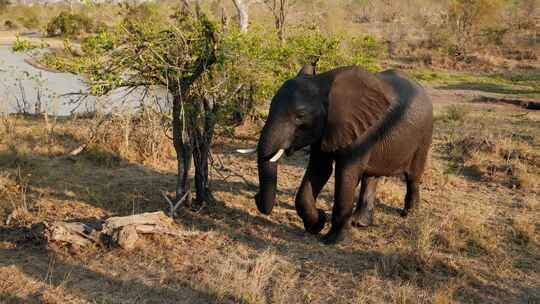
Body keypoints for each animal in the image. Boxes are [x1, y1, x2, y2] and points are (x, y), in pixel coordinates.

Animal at [240, 64, 434, 245]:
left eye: (300, 116)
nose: (255, 197)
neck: (322, 83)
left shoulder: (360, 130)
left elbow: (346, 174)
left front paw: (332, 240)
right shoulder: (325, 130)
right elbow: (319, 170)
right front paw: (317, 224)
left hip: (424, 136)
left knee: (413, 177)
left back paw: (409, 215)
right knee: (371, 177)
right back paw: (359, 223)